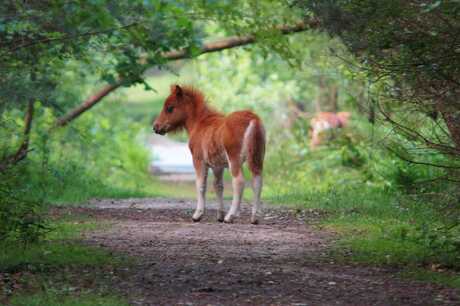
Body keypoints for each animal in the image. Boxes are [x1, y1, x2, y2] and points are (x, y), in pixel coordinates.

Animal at [154, 85, 266, 224]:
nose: (155, 127)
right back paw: (254, 217)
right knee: (257, 181)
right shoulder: (217, 165)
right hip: (258, 157)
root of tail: (252, 119)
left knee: (239, 182)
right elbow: (218, 186)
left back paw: (230, 216)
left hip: (234, 159)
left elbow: (201, 185)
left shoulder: (198, 160)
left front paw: (198, 214)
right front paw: (219, 215)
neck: (200, 123)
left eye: (170, 108)